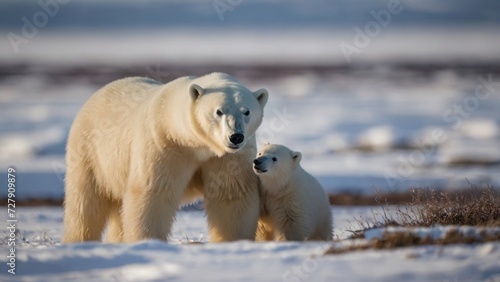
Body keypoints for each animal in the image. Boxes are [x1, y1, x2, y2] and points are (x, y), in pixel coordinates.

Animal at [63, 72, 270, 242]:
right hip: (90, 152)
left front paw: (234, 241)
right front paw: (147, 241)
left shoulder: (227, 157)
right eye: (219, 111)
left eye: (246, 111)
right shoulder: (163, 143)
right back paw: (79, 240)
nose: (236, 137)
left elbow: (231, 194)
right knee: (85, 203)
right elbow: (154, 193)